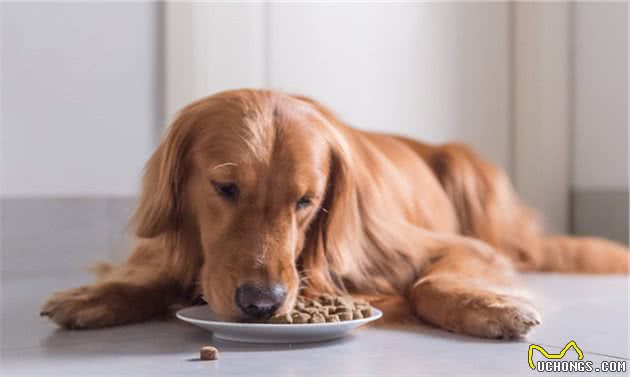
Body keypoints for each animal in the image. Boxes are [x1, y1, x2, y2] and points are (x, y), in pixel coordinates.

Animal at [40, 89, 630, 338]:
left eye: (307, 201)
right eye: (225, 187)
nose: (262, 304)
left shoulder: (457, 247)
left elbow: (428, 282)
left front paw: (487, 306)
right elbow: (152, 275)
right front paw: (95, 296)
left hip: (469, 169)